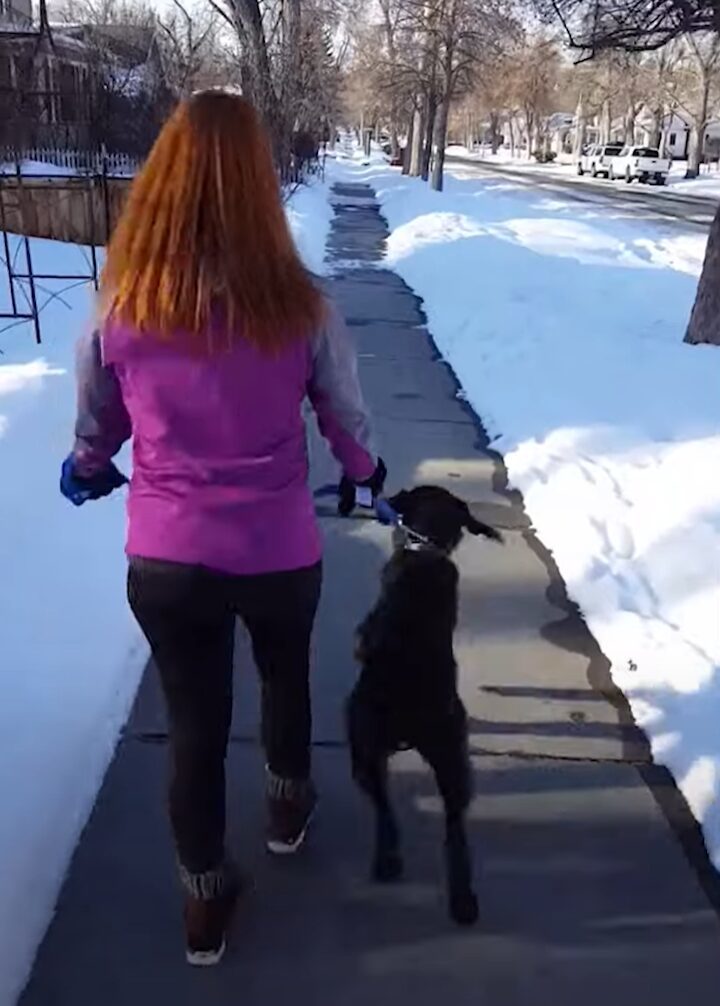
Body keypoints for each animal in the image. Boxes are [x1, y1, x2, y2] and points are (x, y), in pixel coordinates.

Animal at [345, 482, 502, 921]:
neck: (424, 548)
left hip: (374, 746)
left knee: (393, 810)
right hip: (439, 751)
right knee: (448, 823)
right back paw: (458, 893)